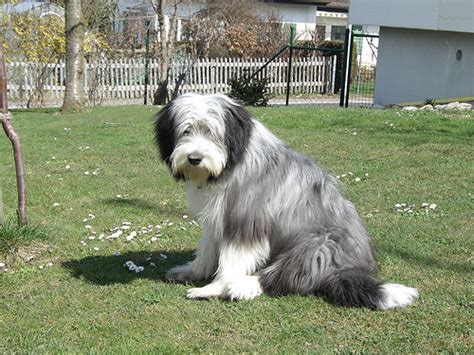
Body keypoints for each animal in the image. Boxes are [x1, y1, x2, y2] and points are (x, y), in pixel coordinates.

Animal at [154, 93, 416, 310]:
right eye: (186, 131)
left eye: (211, 132)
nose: (194, 158)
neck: (234, 162)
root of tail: (355, 266)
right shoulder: (217, 220)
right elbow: (207, 250)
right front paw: (191, 271)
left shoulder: (245, 222)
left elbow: (231, 263)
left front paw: (214, 288)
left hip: (317, 246)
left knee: (286, 275)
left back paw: (244, 286)